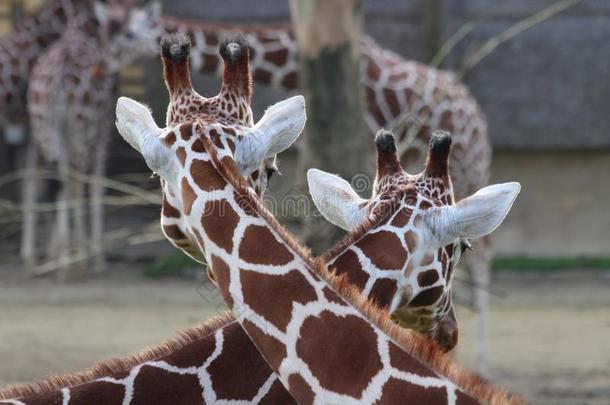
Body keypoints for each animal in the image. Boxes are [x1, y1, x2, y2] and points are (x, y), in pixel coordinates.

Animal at [21, 0, 160, 276]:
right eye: (135, 31)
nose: (157, 44)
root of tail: (62, 77)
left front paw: (54, 250)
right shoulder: (104, 126)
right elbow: (96, 181)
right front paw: (95, 255)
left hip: (47, 129)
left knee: (47, 178)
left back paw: (43, 258)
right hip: (80, 125)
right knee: (73, 181)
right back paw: (77, 260)